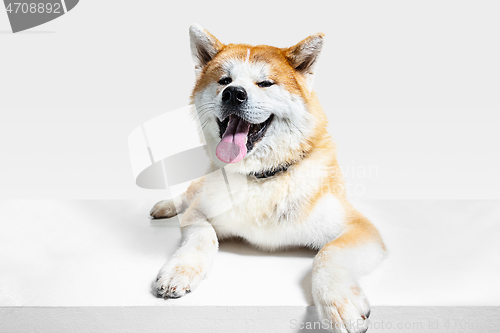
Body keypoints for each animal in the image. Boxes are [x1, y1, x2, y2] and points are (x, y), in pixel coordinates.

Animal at [150, 24, 384, 332]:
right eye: (224, 80)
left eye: (265, 83)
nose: (233, 93)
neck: (261, 178)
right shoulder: (197, 214)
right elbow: (204, 236)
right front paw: (179, 270)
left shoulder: (360, 229)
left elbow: (328, 254)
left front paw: (338, 304)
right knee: (188, 192)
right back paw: (165, 206)